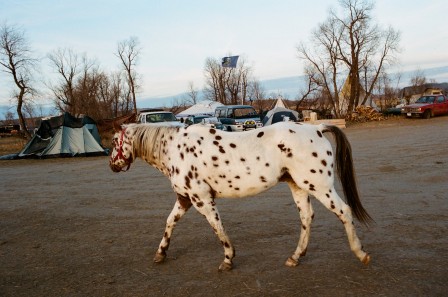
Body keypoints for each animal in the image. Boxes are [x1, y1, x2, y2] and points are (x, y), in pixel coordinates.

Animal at [109, 121, 372, 270]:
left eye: (113, 141)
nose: (112, 165)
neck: (175, 149)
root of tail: (316, 128)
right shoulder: (184, 199)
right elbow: (169, 222)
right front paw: (160, 253)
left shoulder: (201, 199)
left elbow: (217, 226)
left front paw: (228, 259)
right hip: (299, 186)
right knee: (306, 218)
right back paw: (295, 257)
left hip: (319, 186)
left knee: (344, 211)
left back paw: (361, 254)